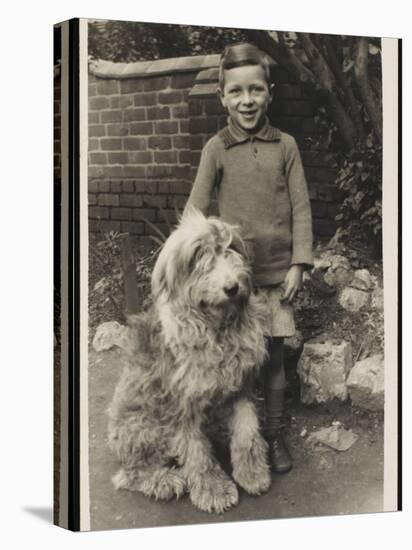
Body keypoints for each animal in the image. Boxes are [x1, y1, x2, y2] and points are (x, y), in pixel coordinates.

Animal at [108, 209, 272, 516]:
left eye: (230, 250)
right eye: (199, 259)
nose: (232, 287)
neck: (217, 330)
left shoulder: (241, 386)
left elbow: (247, 430)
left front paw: (252, 473)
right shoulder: (181, 404)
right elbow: (196, 451)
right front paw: (214, 490)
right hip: (143, 427)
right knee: (129, 474)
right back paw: (165, 480)